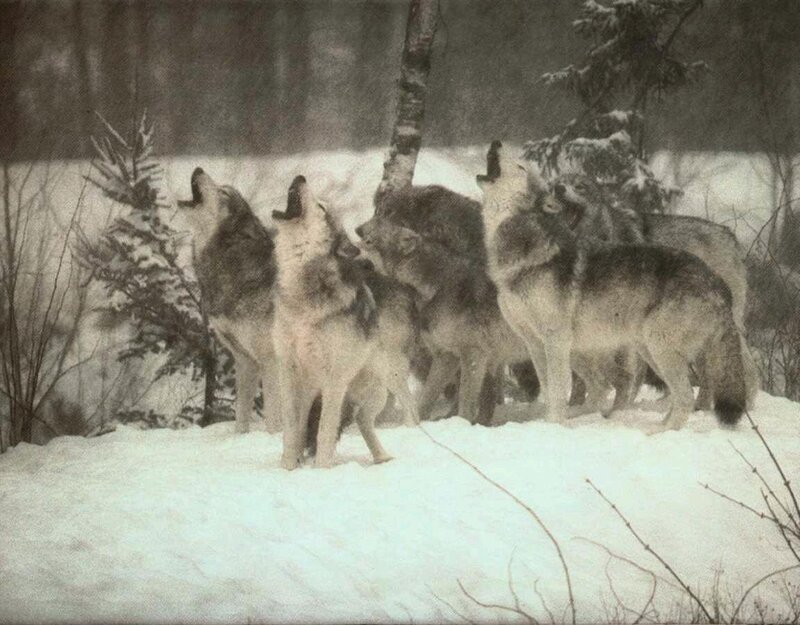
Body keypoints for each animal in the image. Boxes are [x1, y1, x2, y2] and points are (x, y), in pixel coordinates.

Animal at [271, 175, 419, 469]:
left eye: (321, 207)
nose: (300, 177)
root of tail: (400, 286)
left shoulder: (334, 379)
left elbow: (325, 431)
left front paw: (320, 471)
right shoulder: (289, 373)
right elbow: (292, 432)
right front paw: (288, 469)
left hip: (385, 383)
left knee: (407, 410)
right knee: (360, 420)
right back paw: (380, 457)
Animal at [477, 141, 746, 430]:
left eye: (520, 165)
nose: (496, 142)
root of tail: (717, 282)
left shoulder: (556, 339)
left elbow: (559, 390)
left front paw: (555, 427)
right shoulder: (534, 343)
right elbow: (549, 391)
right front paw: (549, 425)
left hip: (658, 348)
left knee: (684, 397)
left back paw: (657, 433)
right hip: (648, 351)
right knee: (675, 396)